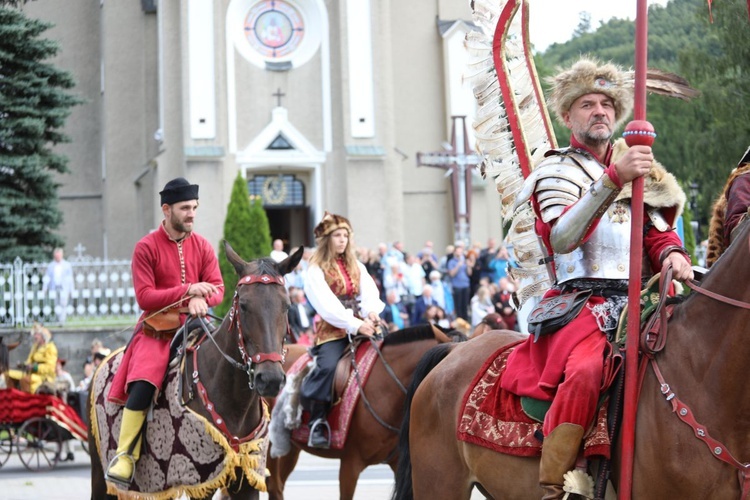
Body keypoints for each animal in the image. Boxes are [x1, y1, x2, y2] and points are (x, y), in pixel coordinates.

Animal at [92, 242, 306, 500]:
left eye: (287, 305)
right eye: (244, 305)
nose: (270, 379)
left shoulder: (246, 479)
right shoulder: (200, 482)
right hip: (100, 472)